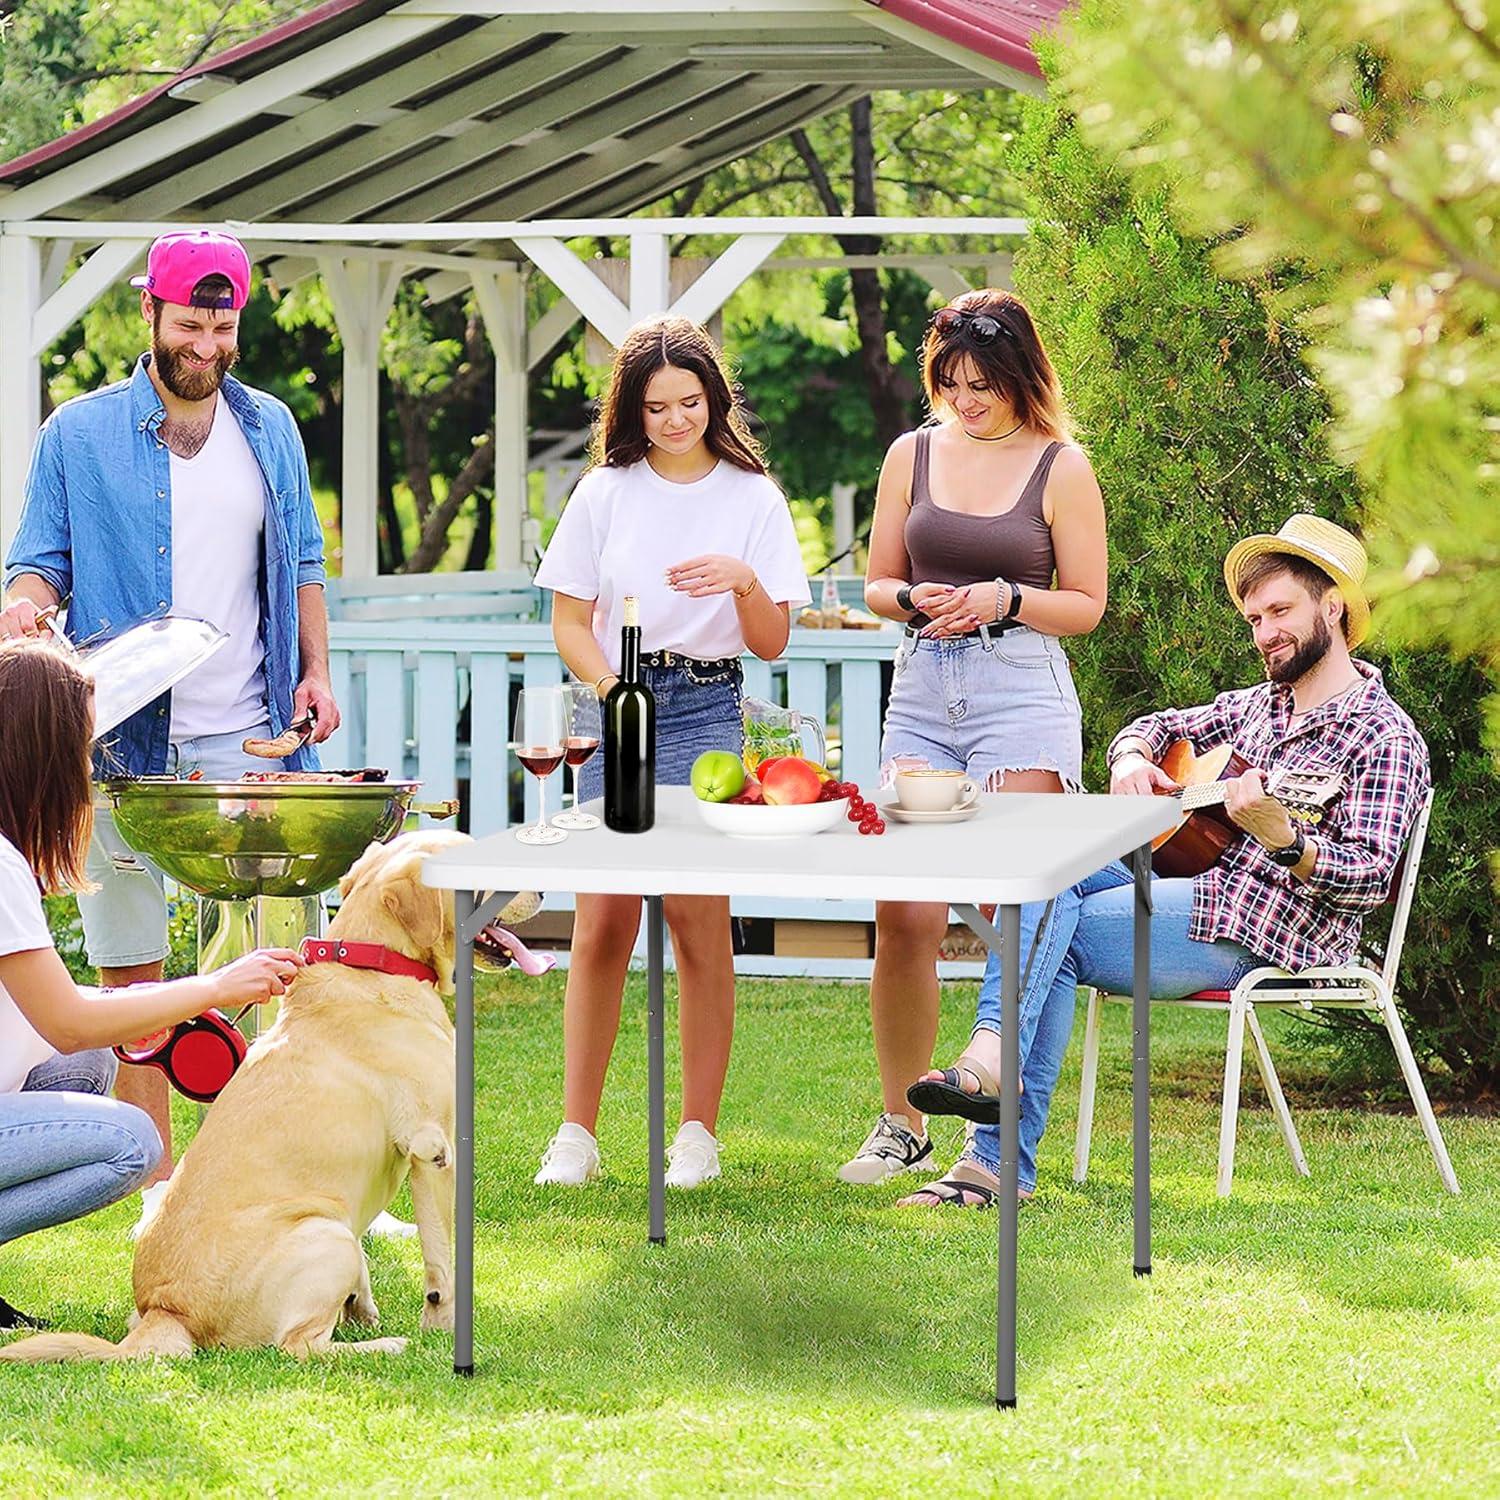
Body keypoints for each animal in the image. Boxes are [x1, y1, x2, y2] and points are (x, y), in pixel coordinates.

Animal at [0, 828, 537, 1368]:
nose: (539, 890)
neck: (376, 962)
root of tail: (164, 1311)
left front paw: (371, 1307)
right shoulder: (433, 1148)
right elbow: (442, 1260)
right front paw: (443, 1328)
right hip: (326, 1233)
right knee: (299, 1347)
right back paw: (386, 1345)